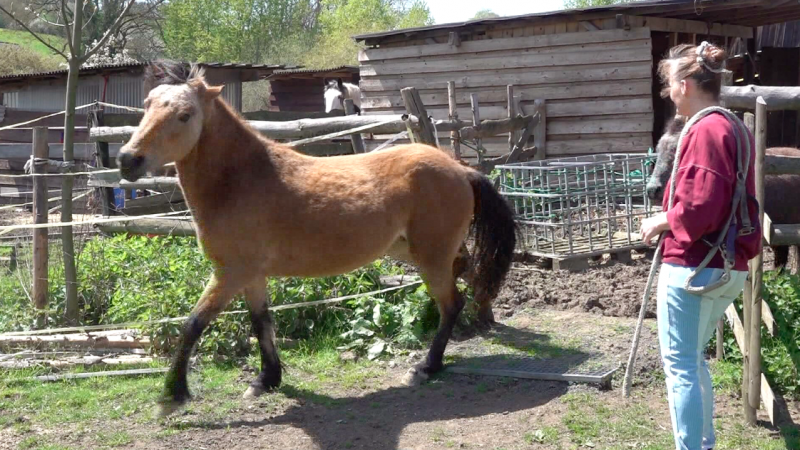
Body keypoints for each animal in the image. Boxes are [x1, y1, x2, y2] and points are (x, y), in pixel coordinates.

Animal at [114, 60, 520, 418]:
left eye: (185, 114)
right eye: (147, 104)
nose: (127, 160)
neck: (242, 180)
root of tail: (461, 170)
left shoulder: (229, 274)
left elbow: (192, 324)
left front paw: (173, 395)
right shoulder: (252, 276)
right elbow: (261, 323)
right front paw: (266, 380)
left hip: (430, 259)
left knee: (452, 303)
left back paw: (427, 366)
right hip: (419, 253)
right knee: (468, 279)